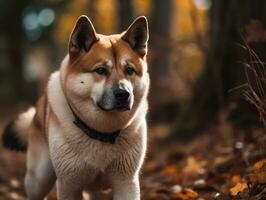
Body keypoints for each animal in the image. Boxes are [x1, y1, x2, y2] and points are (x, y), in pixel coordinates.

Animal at [1, 15, 150, 200]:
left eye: (129, 70)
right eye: (101, 70)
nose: (124, 94)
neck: (102, 132)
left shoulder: (126, 182)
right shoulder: (69, 183)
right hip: (39, 179)